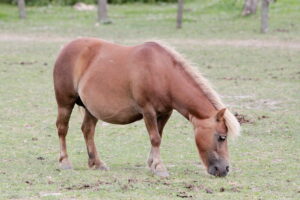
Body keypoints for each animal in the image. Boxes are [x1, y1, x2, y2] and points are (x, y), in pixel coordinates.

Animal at [52, 38, 240, 177]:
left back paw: (96, 163)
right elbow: (155, 138)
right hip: (65, 103)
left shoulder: (165, 113)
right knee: (62, 129)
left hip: (91, 109)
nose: (224, 169)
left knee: (88, 130)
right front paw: (160, 167)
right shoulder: (148, 111)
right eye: (222, 137)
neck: (162, 73)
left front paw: (152, 164)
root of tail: (66, 48)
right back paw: (65, 162)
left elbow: (158, 136)